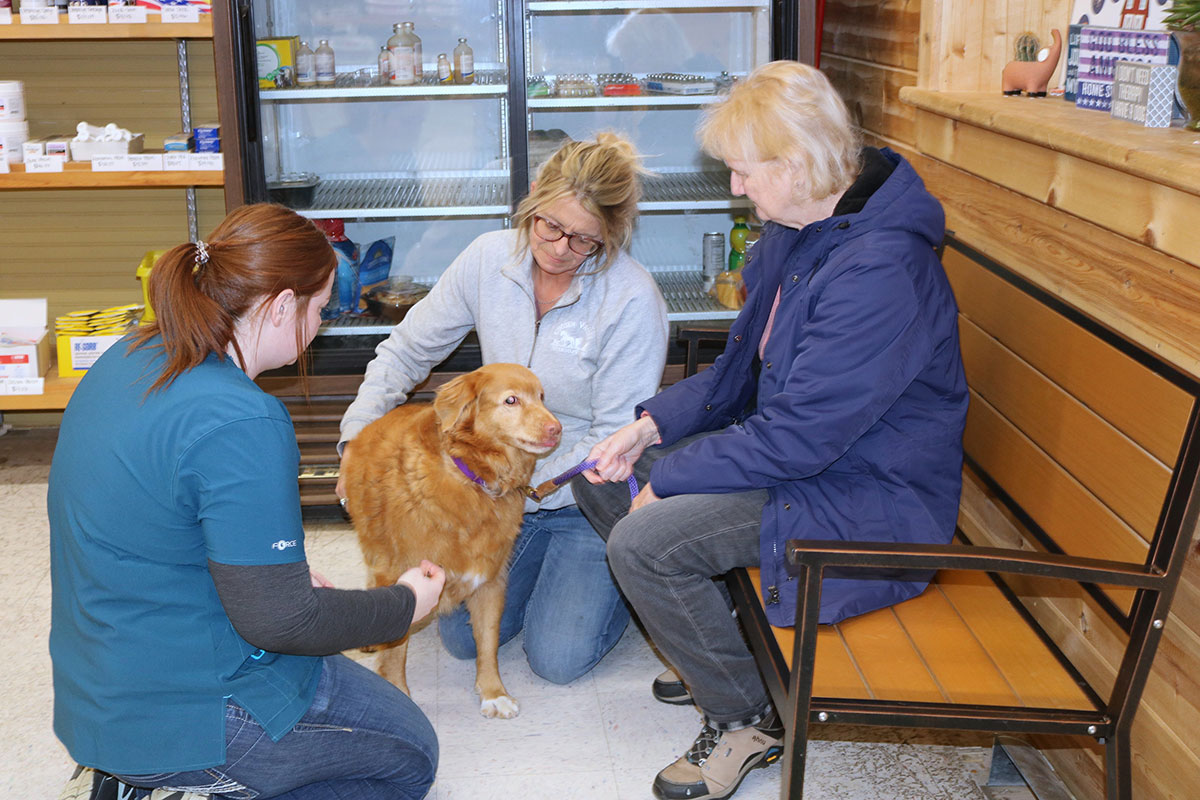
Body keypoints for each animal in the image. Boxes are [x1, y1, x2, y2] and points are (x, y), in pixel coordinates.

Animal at [340, 362, 559, 719]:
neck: (475, 479)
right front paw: (398, 695)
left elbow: (488, 643)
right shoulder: (402, 577)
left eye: (542, 397)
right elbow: (395, 652)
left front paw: (493, 692)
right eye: (511, 400)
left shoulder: (491, 579)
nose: (557, 429)